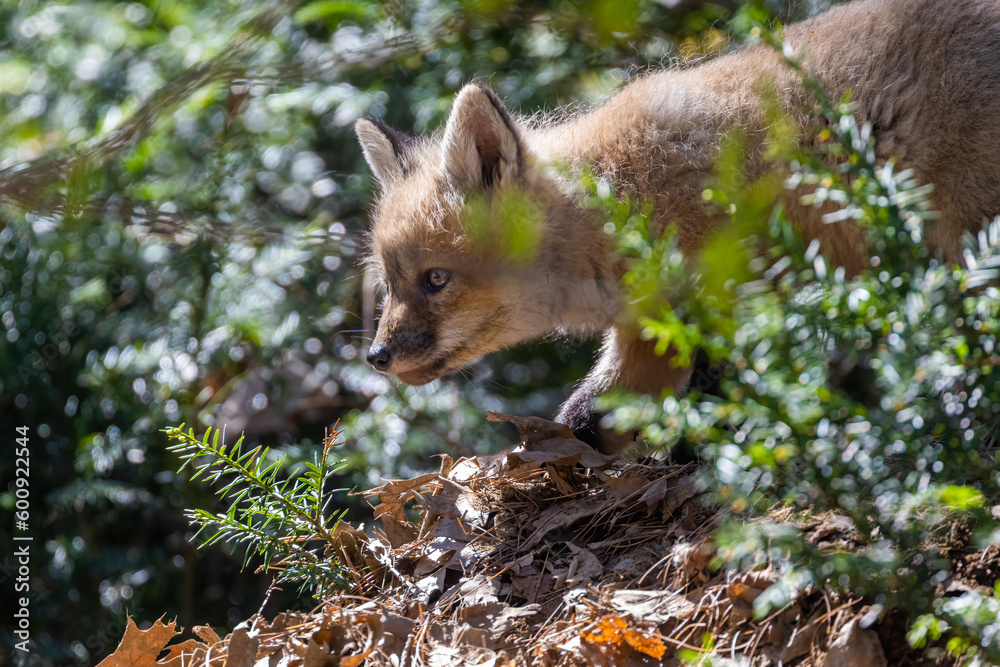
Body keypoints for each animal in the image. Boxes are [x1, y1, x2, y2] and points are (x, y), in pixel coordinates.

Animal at [356, 0, 1000, 452]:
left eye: (436, 280)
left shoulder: (735, 305)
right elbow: (587, 419)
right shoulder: (649, 334)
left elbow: (717, 413)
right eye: (388, 284)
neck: (626, 202)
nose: (377, 357)